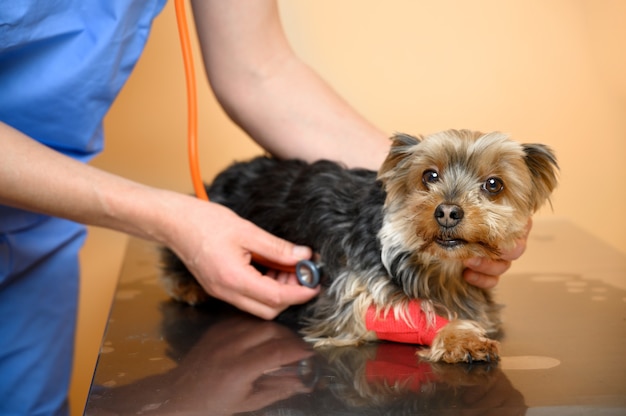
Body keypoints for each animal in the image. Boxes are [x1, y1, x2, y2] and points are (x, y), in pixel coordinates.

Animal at [160, 128, 556, 362]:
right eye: (429, 175)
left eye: (494, 184)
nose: (447, 211)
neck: (430, 265)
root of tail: (223, 175)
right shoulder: (353, 300)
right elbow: (395, 318)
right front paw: (457, 336)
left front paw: (465, 334)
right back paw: (189, 286)